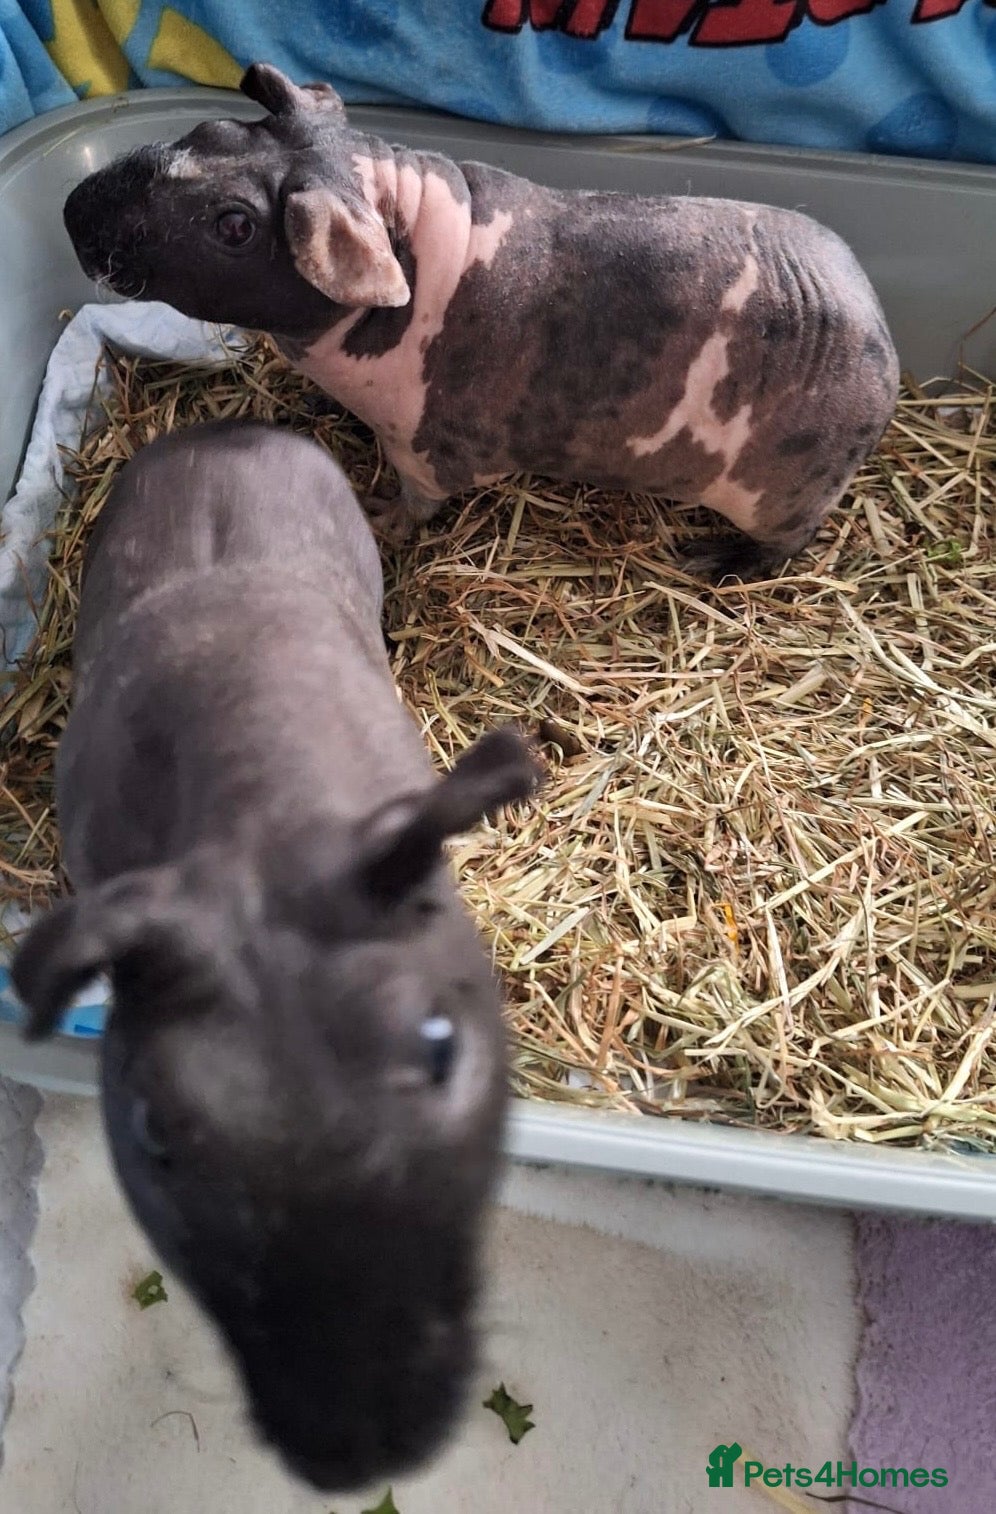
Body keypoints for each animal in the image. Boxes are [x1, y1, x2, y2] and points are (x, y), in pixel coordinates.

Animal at [62, 63, 900, 581]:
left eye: (234, 225)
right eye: (209, 131)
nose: (73, 212)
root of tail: (883, 350)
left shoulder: (425, 454)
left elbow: (414, 505)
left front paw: (377, 514)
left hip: (784, 501)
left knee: (787, 547)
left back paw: (714, 562)